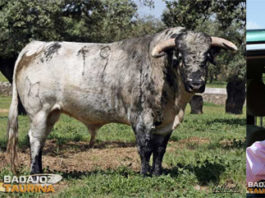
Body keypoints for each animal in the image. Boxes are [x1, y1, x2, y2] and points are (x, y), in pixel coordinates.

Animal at [7, 27, 236, 176]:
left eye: (206, 56)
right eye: (180, 55)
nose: (196, 83)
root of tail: (37, 45)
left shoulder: (166, 123)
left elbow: (159, 150)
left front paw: (157, 174)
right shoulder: (141, 118)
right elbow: (145, 148)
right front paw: (145, 175)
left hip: (51, 113)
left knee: (42, 139)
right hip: (38, 111)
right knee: (35, 139)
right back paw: (35, 173)